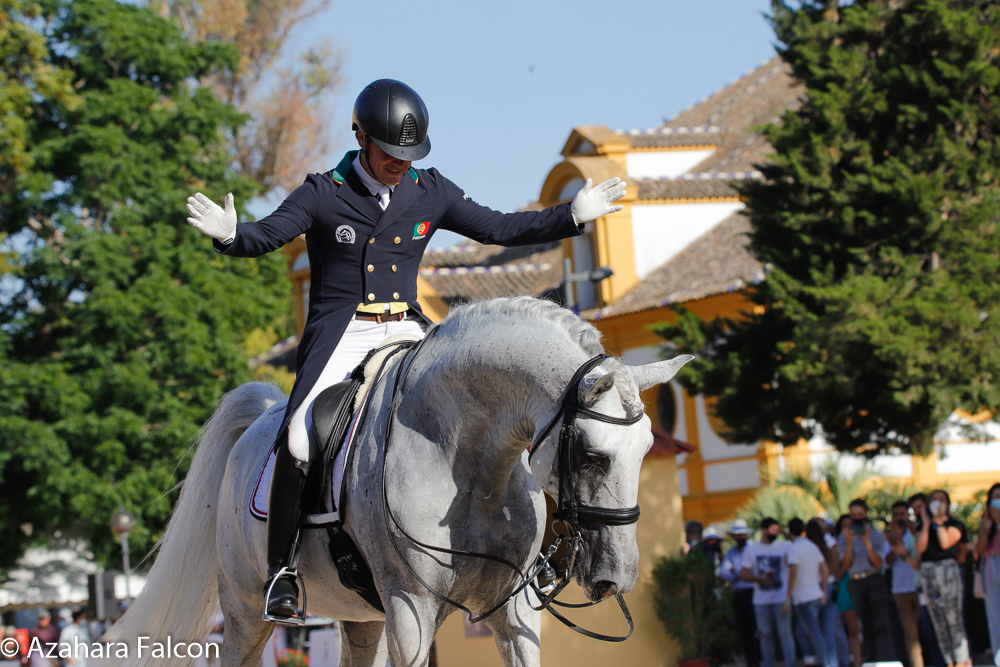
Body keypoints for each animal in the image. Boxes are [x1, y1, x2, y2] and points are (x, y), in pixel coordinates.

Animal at [105, 298, 692, 667]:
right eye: (592, 457)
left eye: (645, 451)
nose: (618, 575)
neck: (468, 462)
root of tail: (262, 419)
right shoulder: (411, 611)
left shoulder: (514, 613)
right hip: (246, 612)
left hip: (362, 615)